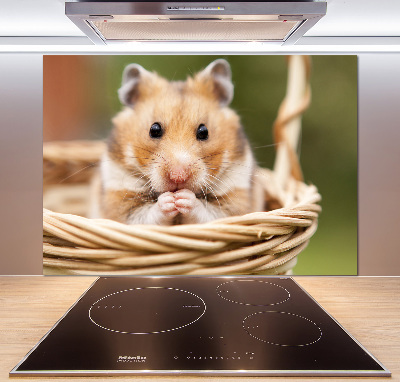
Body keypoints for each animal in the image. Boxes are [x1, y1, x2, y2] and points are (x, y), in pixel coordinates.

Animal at [92, 58, 264, 225]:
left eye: (204, 131)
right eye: (154, 129)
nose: (178, 177)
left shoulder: (235, 199)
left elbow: (210, 213)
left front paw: (183, 198)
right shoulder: (119, 199)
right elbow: (145, 215)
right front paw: (169, 200)